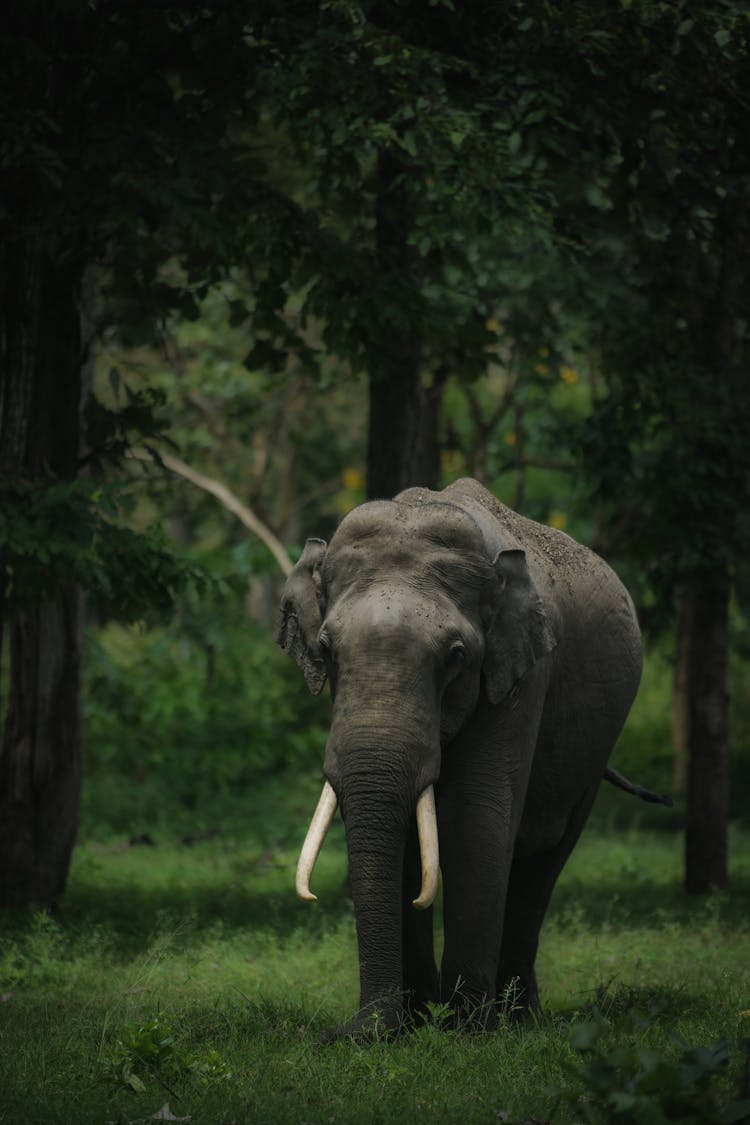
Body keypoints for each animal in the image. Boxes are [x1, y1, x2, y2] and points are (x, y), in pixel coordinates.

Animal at [278, 479, 647, 1039]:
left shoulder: (518, 676)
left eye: (455, 656)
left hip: (597, 744)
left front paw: (465, 1030)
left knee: (546, 860)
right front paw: (407, 1025)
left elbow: (475, 818)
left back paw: (519, 1019)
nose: (346, 1034)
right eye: (325, 650)